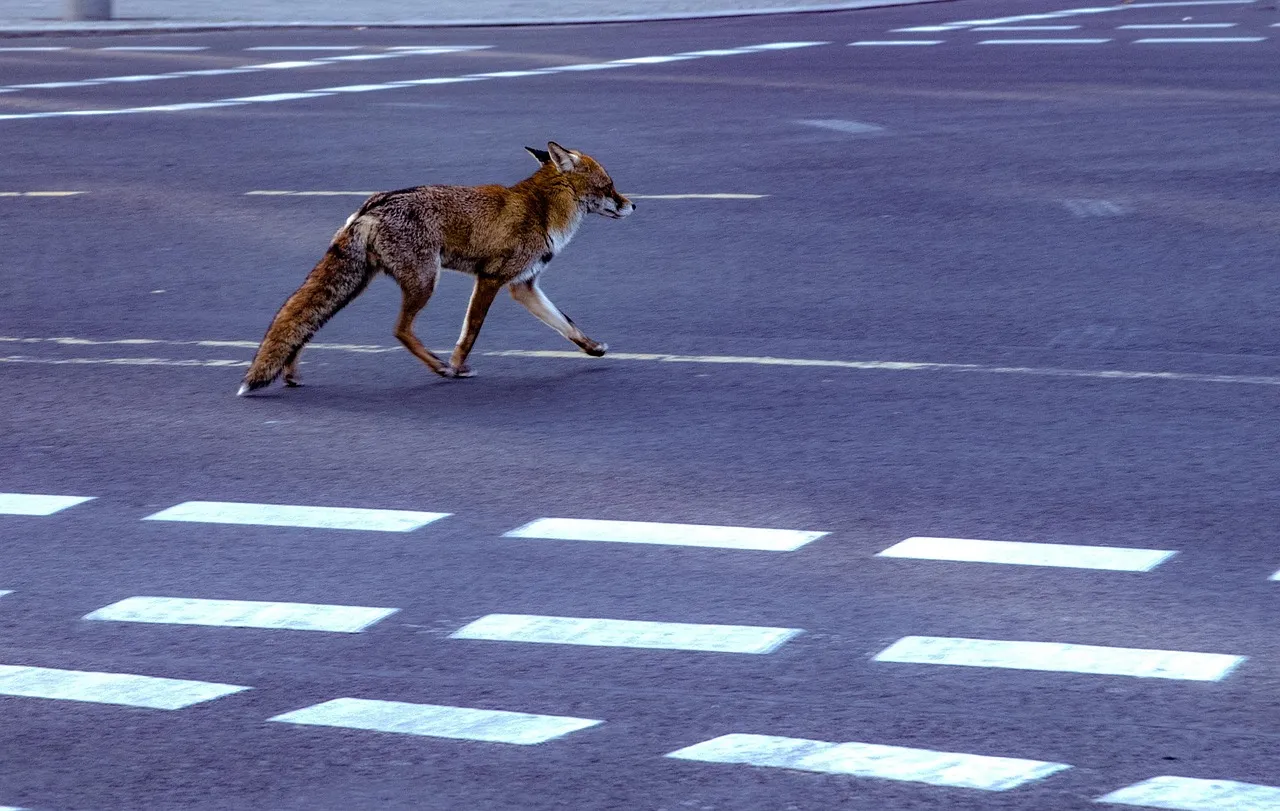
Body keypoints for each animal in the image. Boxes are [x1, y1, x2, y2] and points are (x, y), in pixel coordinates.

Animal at [237, 141, 634, 396]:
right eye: (609, 186)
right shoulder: (491, 278)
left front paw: (593, 348)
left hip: (359, 283)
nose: (634, 205)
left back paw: (290, 373)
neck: (541, 209)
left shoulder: (523, 286)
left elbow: (567, 325)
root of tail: (371, 205)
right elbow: (470, 333)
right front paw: (457, 366)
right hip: (424, 282)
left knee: (304, 323)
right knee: (399, 330)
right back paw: (439, 367)